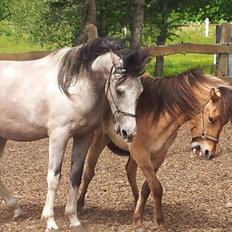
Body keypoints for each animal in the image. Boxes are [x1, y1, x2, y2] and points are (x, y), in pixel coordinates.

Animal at [0, 38, 150, 230]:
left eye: (140, 91)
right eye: (119, 90)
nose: (129, 132)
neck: (74, 89)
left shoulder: (83, 137)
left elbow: (75, 175)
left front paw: (73, 219)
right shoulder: (58, 136)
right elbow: (54, 177)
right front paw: (50, 221)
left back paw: (16, 209)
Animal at [77, 70, 232, 231]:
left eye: (225, 122)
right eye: (211, 118)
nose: (209, 152)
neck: (160, 113)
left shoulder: (158, 156)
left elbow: (148, 188)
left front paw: (144, 217)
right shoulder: (141, 154)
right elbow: (156, 187)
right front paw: (152, 220)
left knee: (129, 171)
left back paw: (136, 200)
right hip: (100, 139)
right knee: (89, 172)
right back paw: (79, 203)